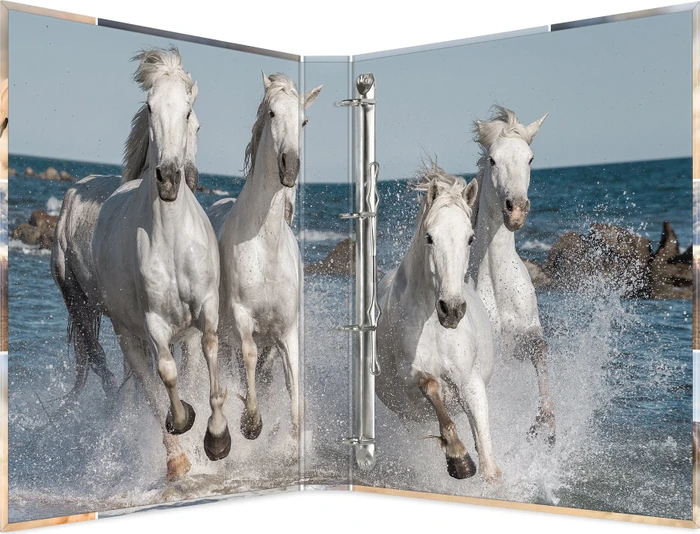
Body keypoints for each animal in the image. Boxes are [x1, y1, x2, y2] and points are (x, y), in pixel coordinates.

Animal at [90, 47, 230, 481]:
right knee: (151, 384)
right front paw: (185, 422)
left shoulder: (206, 311)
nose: (168, 178)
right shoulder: (154, 323)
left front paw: (217, 439)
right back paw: (177, 459)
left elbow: (211, 357)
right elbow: (166, 378)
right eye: (150, 108)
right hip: (128, 335)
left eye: (190, 114)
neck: (170, 238)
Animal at [207, 72, 321, 441]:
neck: (266, 249)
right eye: (271, 113)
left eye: (304, 121)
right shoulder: (242, 320)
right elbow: (249, 357)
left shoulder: (286, 332)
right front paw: (251, 422)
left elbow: (294, 395)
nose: (290, 166)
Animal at [376, 162, 501, 481]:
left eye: (470, 238)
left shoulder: (470, 383)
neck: (433, 326)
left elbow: (489, 461)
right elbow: (431, 385)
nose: (452, 310)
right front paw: (459, 458)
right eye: (430, 237)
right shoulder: (409, 377)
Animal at [467, 105, 555, 444]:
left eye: (530, 158)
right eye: (492, 160)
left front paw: (545, 424)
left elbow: (541, 350)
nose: (516, 209)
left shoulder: (522, 339)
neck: (497, 283)